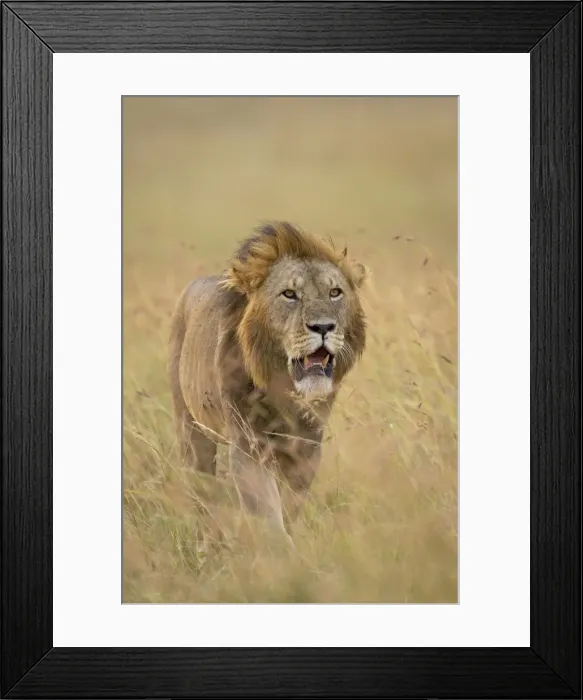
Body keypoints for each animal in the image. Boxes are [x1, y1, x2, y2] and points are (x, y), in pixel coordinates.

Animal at [168, 221, 367, 544]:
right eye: (289, 294)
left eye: (335, 292)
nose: (324, 326)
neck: (283, 389)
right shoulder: (249, 446)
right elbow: (267, 510)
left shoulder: (307, 448)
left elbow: (290, 503)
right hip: (191, 428)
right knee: (201, 485)